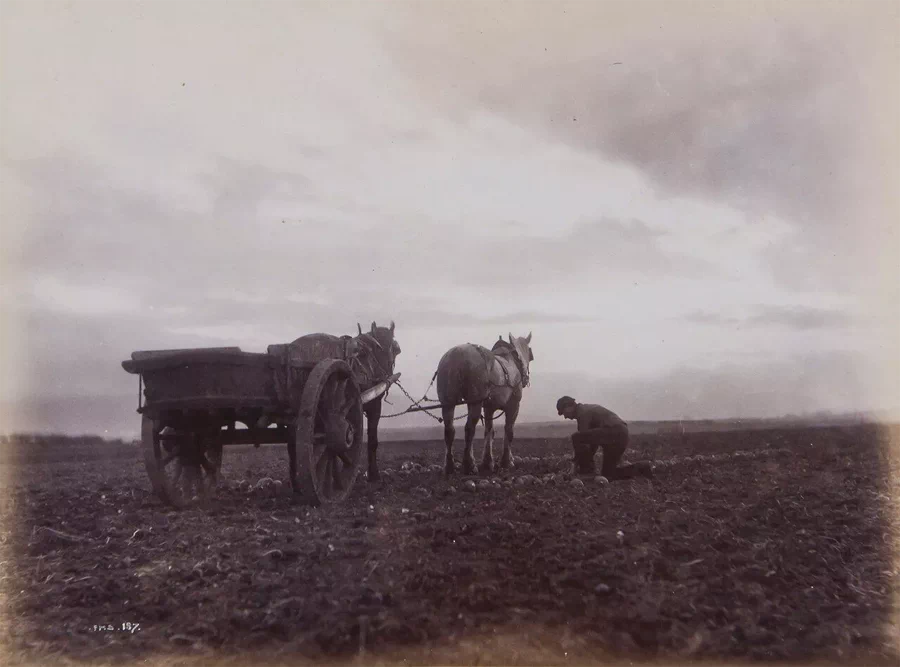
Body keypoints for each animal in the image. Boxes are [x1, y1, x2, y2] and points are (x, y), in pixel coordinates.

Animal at [436, 332, 536, 478]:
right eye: (530, 355)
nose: (526, 379)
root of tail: (455, 356)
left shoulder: (489, 408)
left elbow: (489, 431)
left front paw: (487, 462)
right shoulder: (513, 406)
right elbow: (509, 430)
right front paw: (506, 461)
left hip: (448, 402)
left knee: (449, 430)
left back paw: (449, 467)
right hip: (475, 402)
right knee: (469, 429)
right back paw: (469, 465)